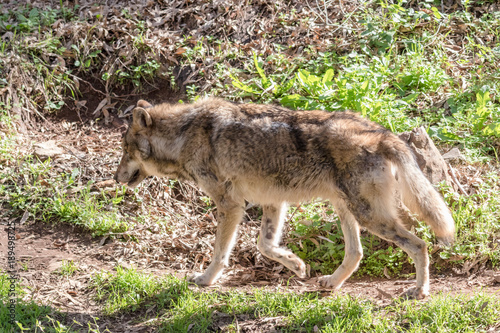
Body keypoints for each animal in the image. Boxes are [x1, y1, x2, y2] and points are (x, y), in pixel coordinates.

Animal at [114, 97, 458, 296]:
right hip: (346, 209)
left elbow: (221, 253)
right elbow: (266, 245)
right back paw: (331, 284)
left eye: (125, 151)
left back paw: (419, 291)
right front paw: (297, 266)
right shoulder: (272, 202)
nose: (116, 178)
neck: (184, 135)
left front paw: (206, 280)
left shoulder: (230, 205)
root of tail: (381, 133)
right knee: (356, 253)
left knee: (419, 244)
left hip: (368, 216)